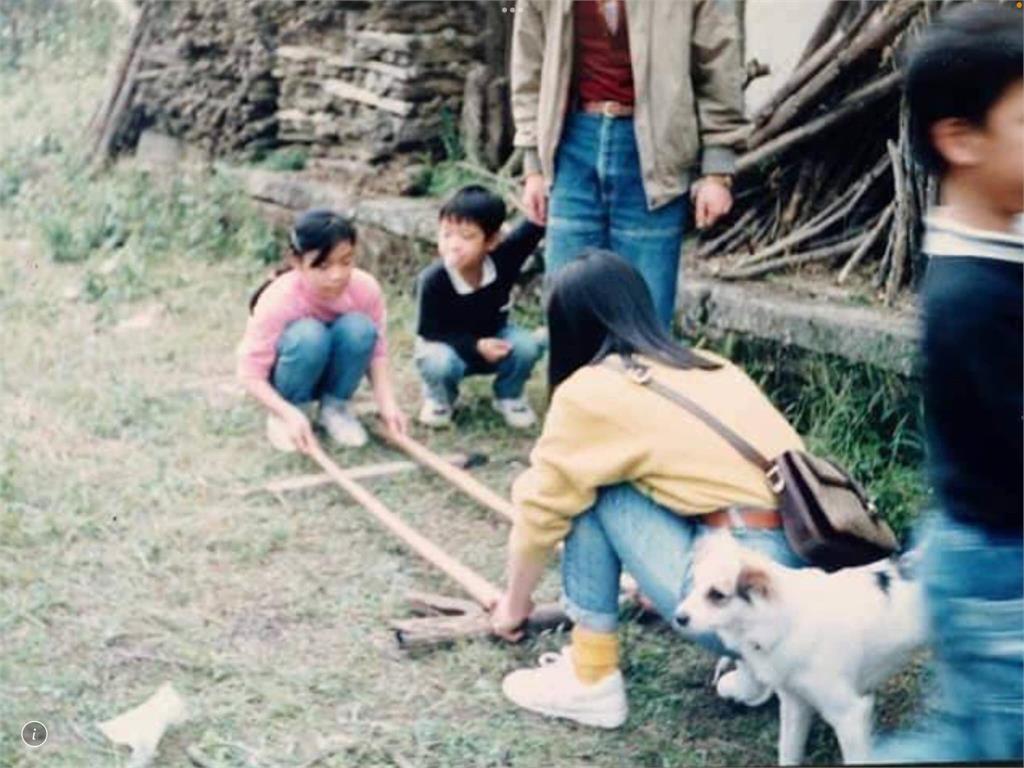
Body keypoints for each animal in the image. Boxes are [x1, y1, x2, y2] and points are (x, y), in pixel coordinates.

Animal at [671, 532, 929, 765]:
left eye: (716, 594)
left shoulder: (851, 713)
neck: (784, 621)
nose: (678, 618)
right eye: (694, 586)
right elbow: (788, 752)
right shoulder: (795, 703)